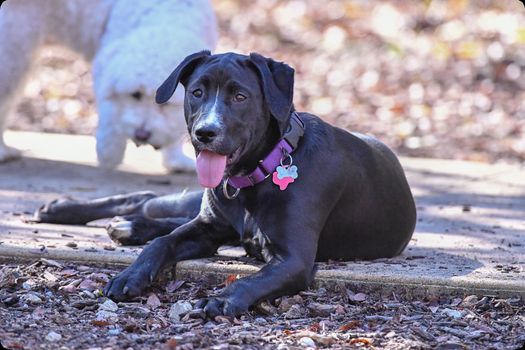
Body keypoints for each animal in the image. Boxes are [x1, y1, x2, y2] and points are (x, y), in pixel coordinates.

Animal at [0, 0, 217, 171]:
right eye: (135, 94)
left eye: (165, 104)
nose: (142, 134)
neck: (163, 16)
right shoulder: (106, 67)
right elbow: (110, 112)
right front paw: (109, 152)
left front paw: (176, 159)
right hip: (13, 48)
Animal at [34, 51, 416, 318]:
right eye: (197, 92)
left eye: (240, 96)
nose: (205, 133)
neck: (256, 174)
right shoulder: (206, 227)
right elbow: (162, 243)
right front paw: (131, 275)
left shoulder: (293, 259)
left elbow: (252, 278)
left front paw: (221, 300)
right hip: (197, 207)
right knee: (146, 199)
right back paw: (65, 209)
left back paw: (126, 226)